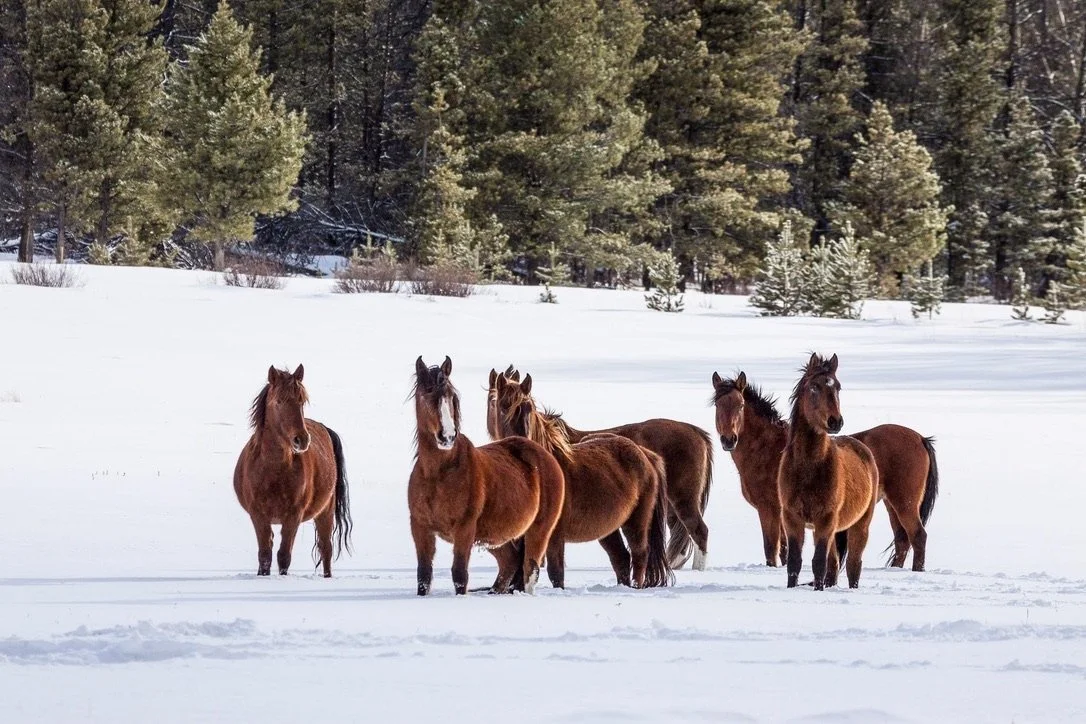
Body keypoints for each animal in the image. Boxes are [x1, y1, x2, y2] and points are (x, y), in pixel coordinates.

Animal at [233, 364, 353, 577]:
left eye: (301, 401)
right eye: (279, 401)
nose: (302, 440)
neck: (272, 471)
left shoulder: (293, 516)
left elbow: (283, 556)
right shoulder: (258, 515)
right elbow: (265, 555)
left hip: (325, 511)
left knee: (326, 549)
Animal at [409, 356, 565, 595]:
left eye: (452, 397)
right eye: (426, 394)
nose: (447, 437)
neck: (439, 474)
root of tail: (545, 454)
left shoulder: (464, 530)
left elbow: (459, 576)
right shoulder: (420, 528)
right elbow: (423, 576)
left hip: (538, 531)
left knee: (530, 570)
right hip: (497, 538)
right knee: (509, 564)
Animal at [488, 366, 713, 570]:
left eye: (529, 407)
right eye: (501, 405)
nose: (522, 441)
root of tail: (696, 431)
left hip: (683, 499)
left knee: (699, 531)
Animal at [711, 371, 938, 570]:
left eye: (740, 405)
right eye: (717, 404)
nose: (729, 440)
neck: (769, 448)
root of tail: (920, 438)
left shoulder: (769, 509)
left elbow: (771, 549)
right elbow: (784, 550)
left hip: (905, 503)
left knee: (918, 536)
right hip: (892, 504)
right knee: (902, 540)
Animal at [778, 353, 878, 590]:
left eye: (838, 387)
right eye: (814, 387)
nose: (835, 421)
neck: (808, 468)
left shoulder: (825, 520)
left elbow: (818, 563)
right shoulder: (791, 518)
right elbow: (794, 563)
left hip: (860, 524)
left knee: (853, 565)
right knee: (834, 565)